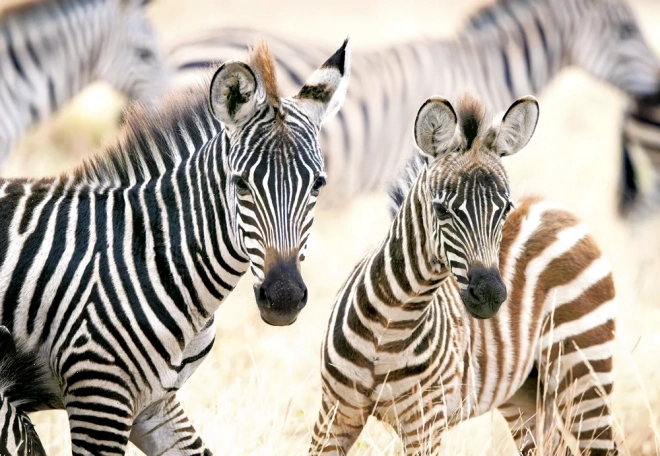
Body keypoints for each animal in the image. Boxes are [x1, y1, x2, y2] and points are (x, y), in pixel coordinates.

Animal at [310, 94, 620, 454]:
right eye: (441, 210)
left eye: (505, 209)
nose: (489, 295)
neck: (389, 326)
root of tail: (557, 209)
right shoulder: (333, 415)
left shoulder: (425, 425)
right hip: (526, 394)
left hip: (585, 370)